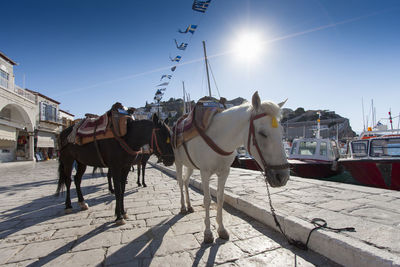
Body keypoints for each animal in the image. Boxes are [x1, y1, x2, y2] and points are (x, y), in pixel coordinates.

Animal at [173, 92, 290, 245]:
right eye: (262, 133)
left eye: (282, 132)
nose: (282, 176)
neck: (219, 137)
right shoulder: (205, 173)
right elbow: (207, 200)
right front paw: (208, 233)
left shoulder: (224, 172)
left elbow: (220, 198)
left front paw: (221, 229)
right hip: (179, 162)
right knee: (181, 182)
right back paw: (182, 207)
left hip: (190, 165)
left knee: (186, 181)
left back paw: (189, 205)